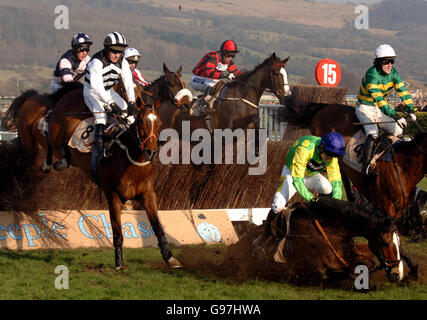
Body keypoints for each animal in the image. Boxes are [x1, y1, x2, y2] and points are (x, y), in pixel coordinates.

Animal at [48, 88, 182, 270]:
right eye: (140, 121)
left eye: (159, 122)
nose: (151, 152)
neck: (131, 162)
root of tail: (70, 92)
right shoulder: (113, 196)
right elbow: (117, 232)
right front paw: (119, 262)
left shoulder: (148, 195)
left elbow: (158, 227)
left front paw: (170, 257)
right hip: (56, 133)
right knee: (47, 138)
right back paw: (47, 162)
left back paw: (63, 161)